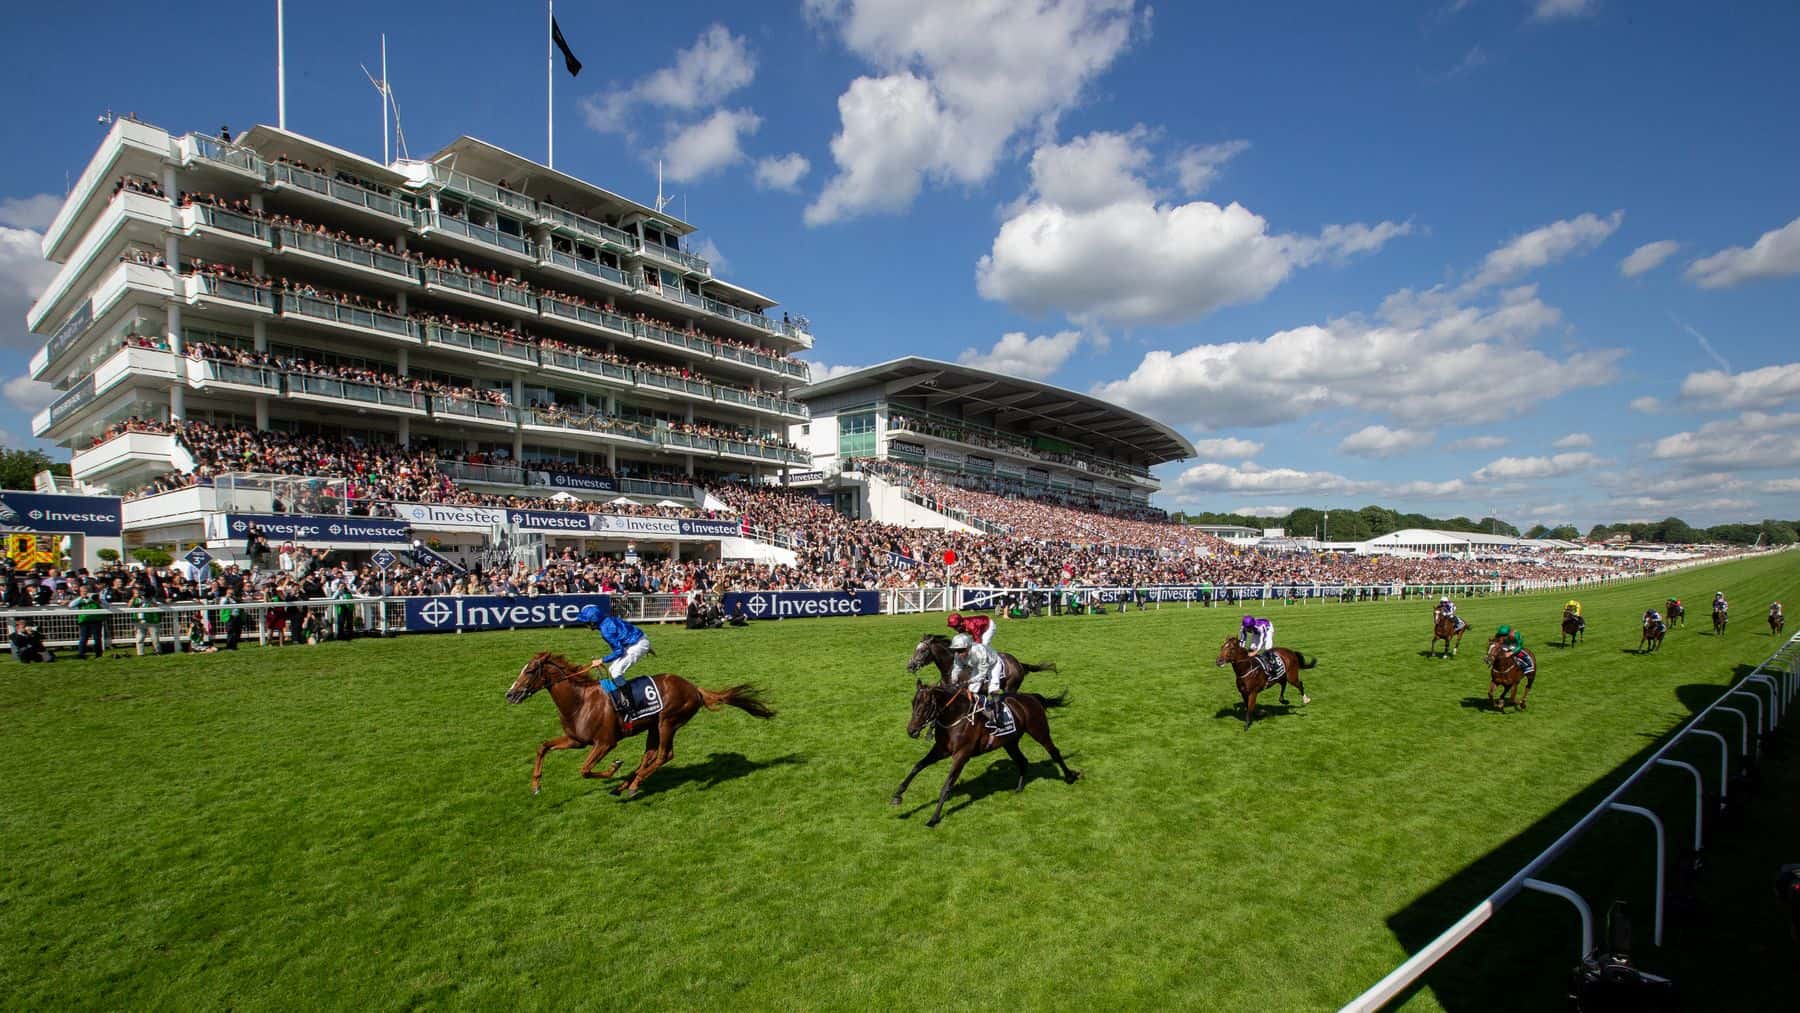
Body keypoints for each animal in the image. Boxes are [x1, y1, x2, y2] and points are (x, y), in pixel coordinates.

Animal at [507, 651, 774, 802]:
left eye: (530, 671)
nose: (510, 695)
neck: (580, 701)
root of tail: (694, 688)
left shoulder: (605, 743)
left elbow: (584, 769)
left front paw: (614, 768)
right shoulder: (576, 740)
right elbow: (543, 747)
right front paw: (535, 786)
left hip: (668, 721)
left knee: (664, 755)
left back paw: (633, 784)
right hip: (654, 726)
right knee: (650, 755)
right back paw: (626, 784)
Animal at [892, 676, 1072, 827]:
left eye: (925, 705)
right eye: (913, 703)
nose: (911, 731)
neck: (955, 717)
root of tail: (1031, 697)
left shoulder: (961, 755)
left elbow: (947, 785)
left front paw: (934, 818)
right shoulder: (941, 750)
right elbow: (918, 766)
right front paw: (897, 795)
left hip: (1039, 731)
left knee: (1054, 752)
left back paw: (1070, 776)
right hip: (1010, 742)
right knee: (1023, 761)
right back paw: (1019, 788)